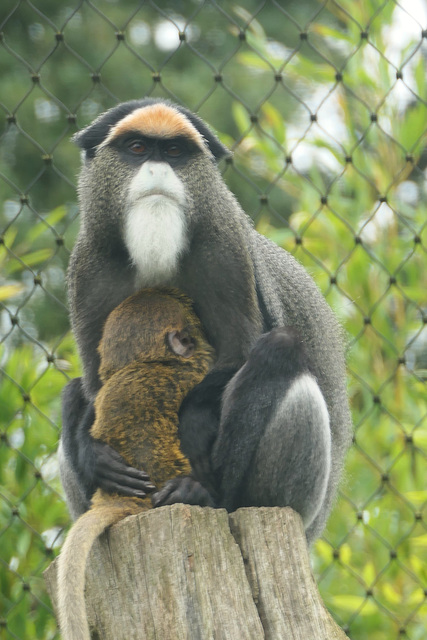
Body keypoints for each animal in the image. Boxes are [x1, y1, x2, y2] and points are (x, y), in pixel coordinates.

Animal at [61, 97, 354, 544]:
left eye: (174, 152)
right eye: (137, 149)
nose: (158, 168)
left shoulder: (225, 252)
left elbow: (239, 353)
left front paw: (193, 421)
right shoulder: (90, 267)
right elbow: (95, 384)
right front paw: (93, 453)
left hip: (292, 503)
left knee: (282, 359)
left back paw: (206, 494)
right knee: (72, 391)